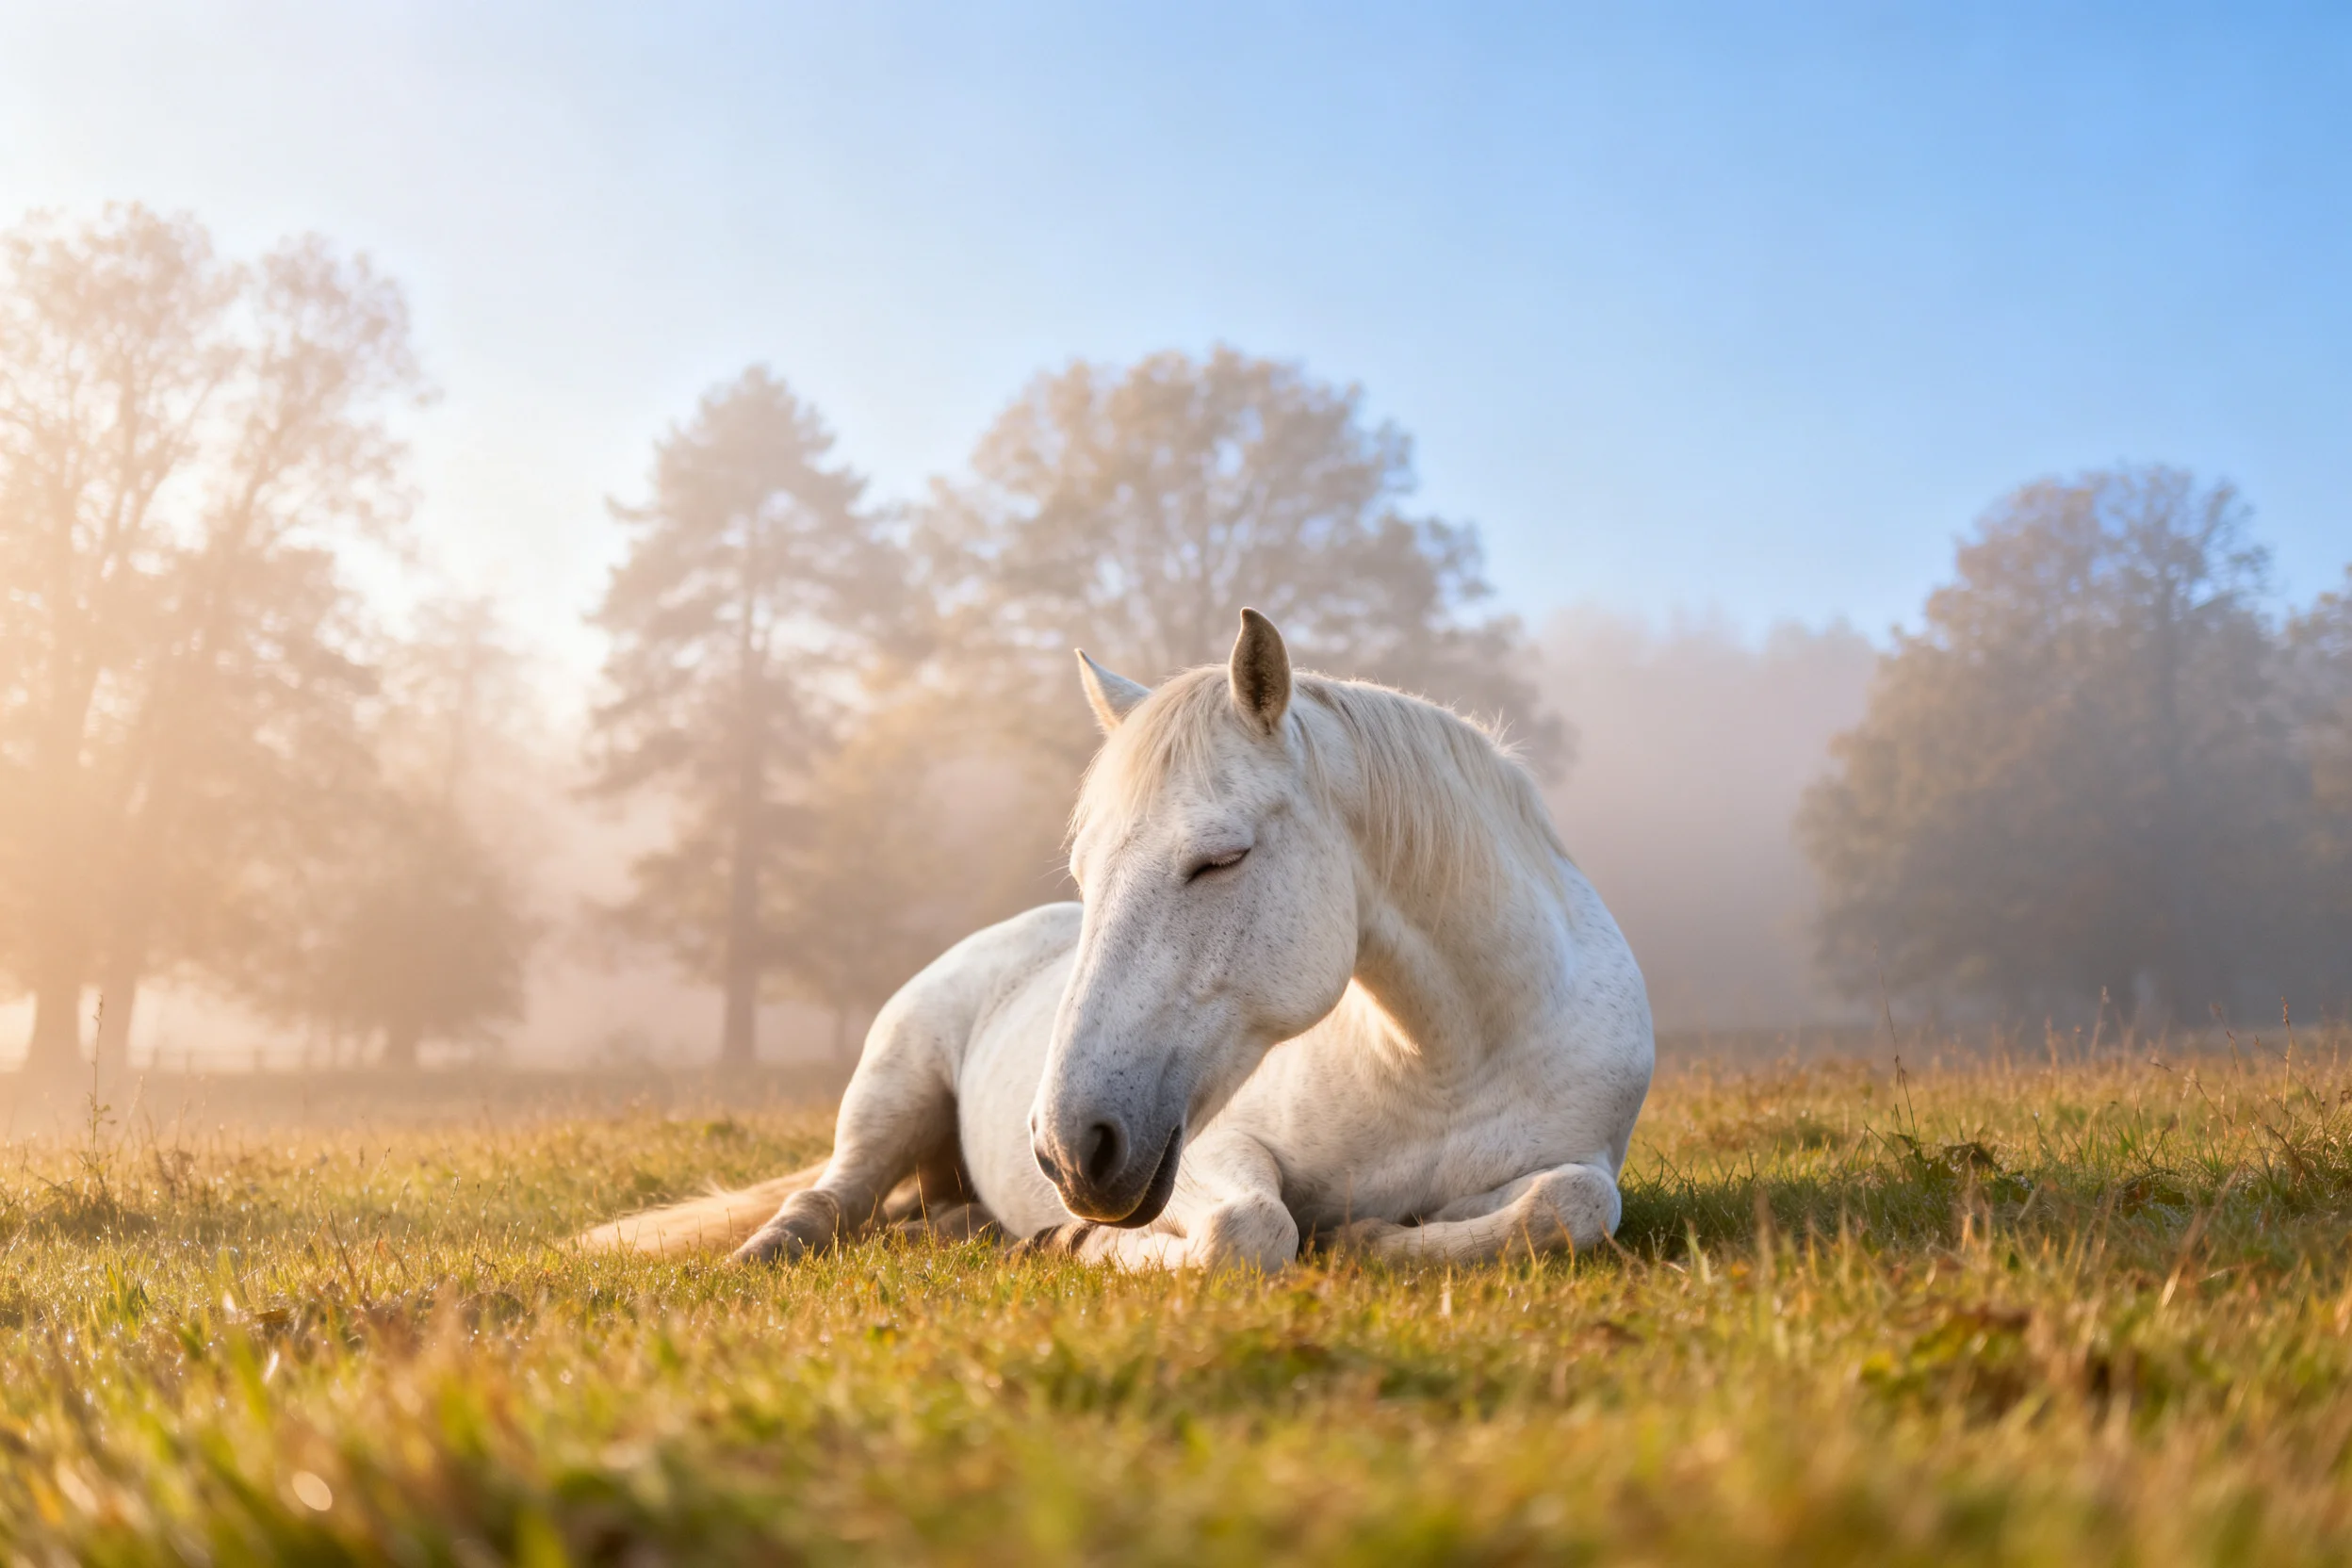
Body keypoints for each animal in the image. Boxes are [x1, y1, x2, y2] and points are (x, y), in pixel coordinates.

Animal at [582, 609, 1653, 1270]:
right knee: (831, 1200)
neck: (1439, 1060)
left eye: (1220, 859)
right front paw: (1083, 1244)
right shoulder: (1220, 1155)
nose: (1069, 1148)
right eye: (1086, 872)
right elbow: (1250, 1229)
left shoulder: (1579, 1164)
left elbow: (1569, 1207)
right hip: (890, 1088)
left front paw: (1380, 1236)